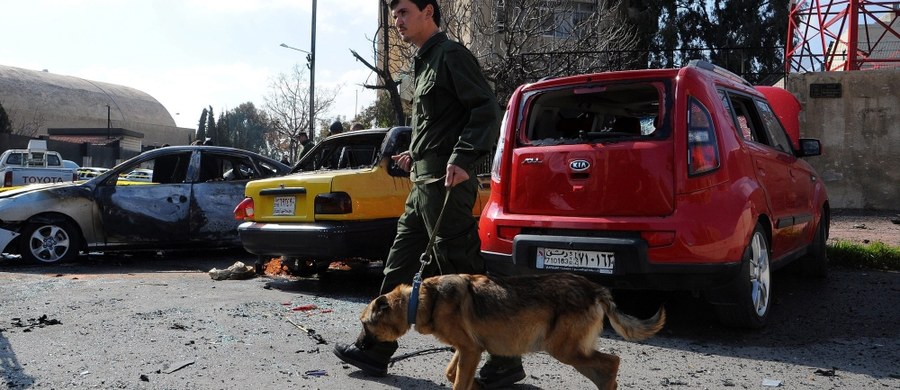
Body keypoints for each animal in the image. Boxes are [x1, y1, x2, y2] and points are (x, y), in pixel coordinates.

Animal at [356, 272, 660, 390]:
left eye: (364, 324)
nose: (358, 346)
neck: (424, 298)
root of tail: (595, 288)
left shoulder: (469, 350)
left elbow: (457, 381)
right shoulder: (469, 349)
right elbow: (452, 372)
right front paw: (477, 384)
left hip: (565, 350)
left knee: (613, 361)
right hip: (573, 352)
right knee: (607, 367)